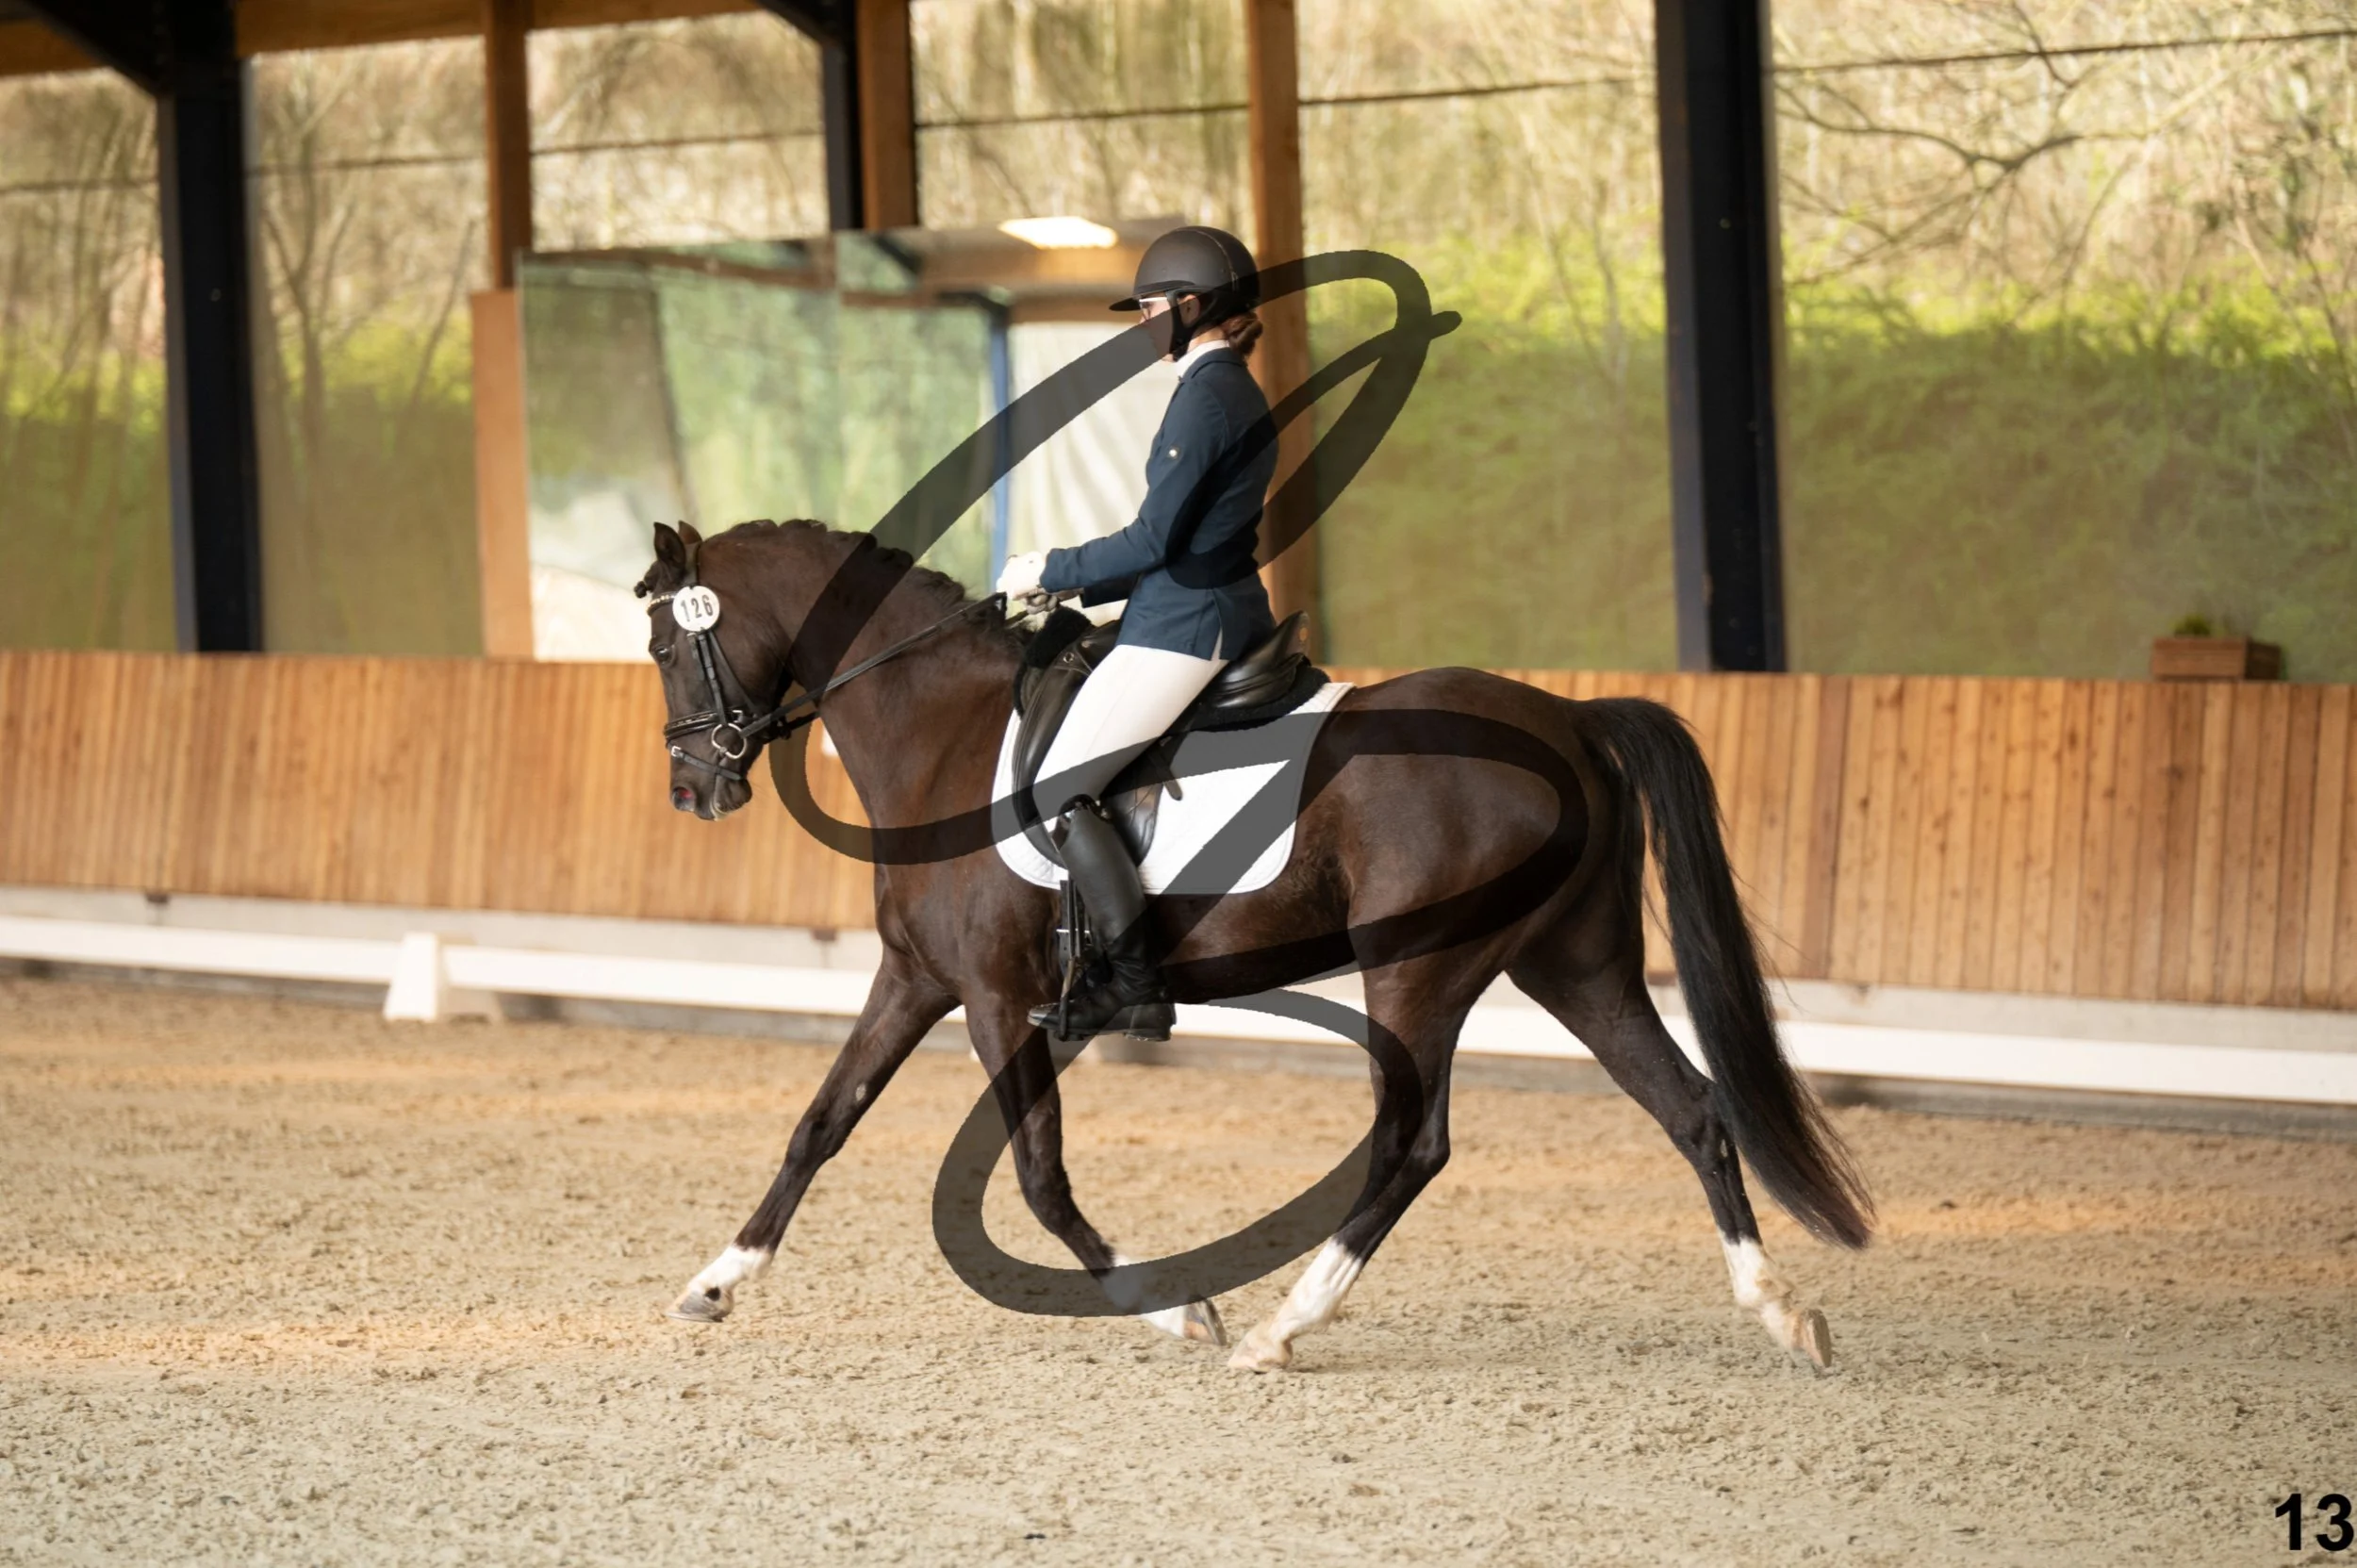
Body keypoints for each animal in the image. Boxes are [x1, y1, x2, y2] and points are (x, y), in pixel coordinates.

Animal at [637, 517, 1872, 1373]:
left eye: (662, 644)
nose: (693, 789)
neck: (940, 731)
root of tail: (1568, 719)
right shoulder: (914, 981)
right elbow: (820, 1124)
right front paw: (716, 1282)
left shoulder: (994, 996)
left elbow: (1037, 1176)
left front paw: (1177, 1305)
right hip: (1576, 965)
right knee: (1690, 1108)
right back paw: (1781, 1314)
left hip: (1419, 972)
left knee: (1412, 1146)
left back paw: (1282, 1326)